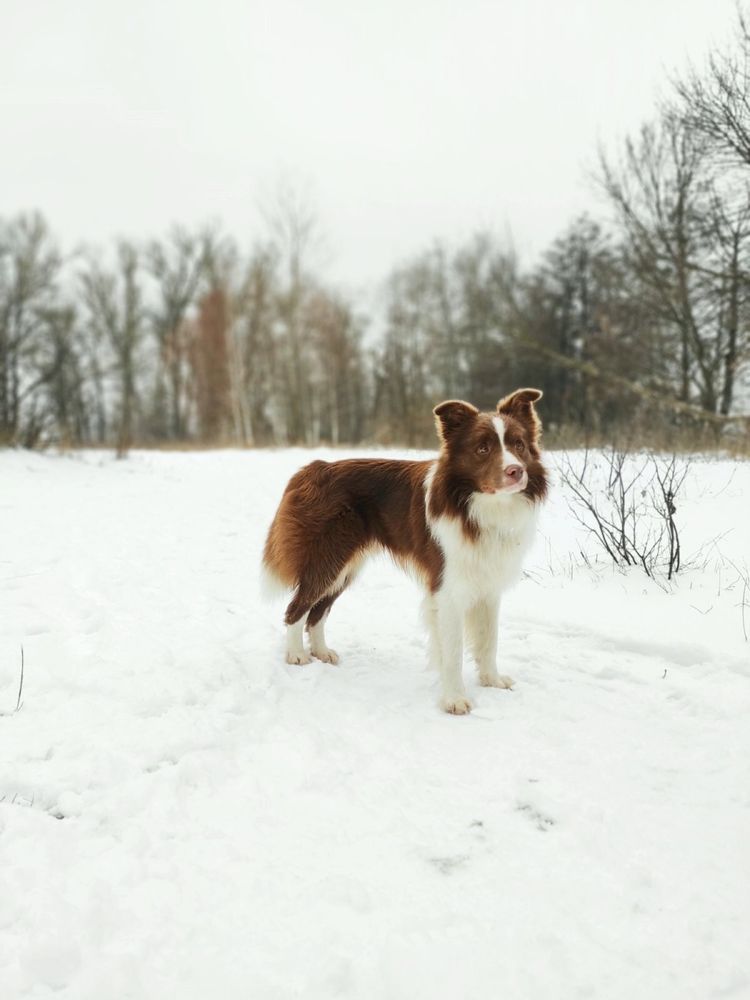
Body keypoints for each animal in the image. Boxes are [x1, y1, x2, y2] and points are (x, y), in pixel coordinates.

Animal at [262, 388, 548, 712]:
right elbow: (453, 650)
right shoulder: (447, 587)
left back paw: (322, 652)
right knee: (297, 607)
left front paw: (492, 680)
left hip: (345, 567)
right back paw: (296, 655)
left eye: (519, 445)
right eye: (483, 448)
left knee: (318, 612)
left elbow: (489, 638)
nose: (516, 471)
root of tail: (313, 468)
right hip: (328, 559)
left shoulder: (489, 583)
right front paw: (455, 699)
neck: (479, 504)